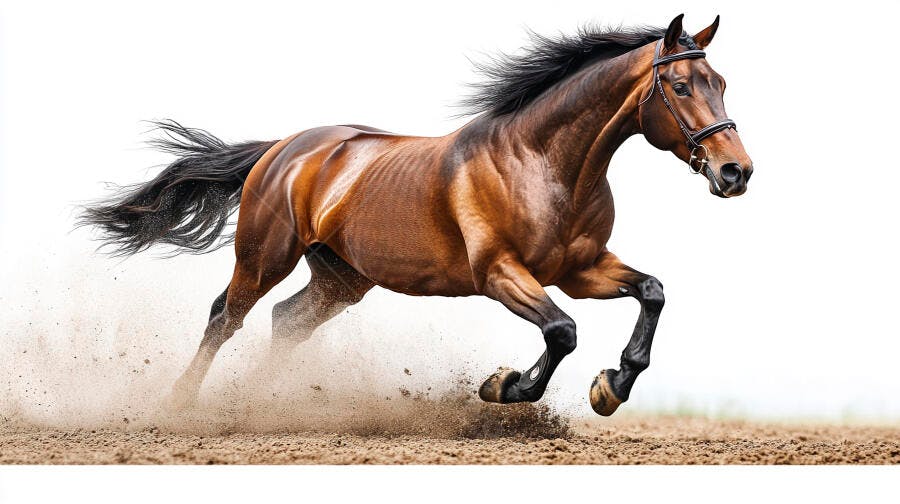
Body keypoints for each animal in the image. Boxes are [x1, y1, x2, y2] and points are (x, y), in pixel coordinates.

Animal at [80, 14, 752, 416]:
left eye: (720, 81)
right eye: (683, 87)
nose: (735, 172)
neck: (543, 164)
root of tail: (285, 148)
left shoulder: (582, 271)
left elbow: (652, 292)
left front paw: (610, 387)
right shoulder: (501, 274)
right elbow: (562, 331)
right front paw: (505, 385)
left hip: (342, 278)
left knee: (286, 321)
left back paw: (263, 404)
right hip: (265, 257)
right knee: (227, 317)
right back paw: (179, 405)